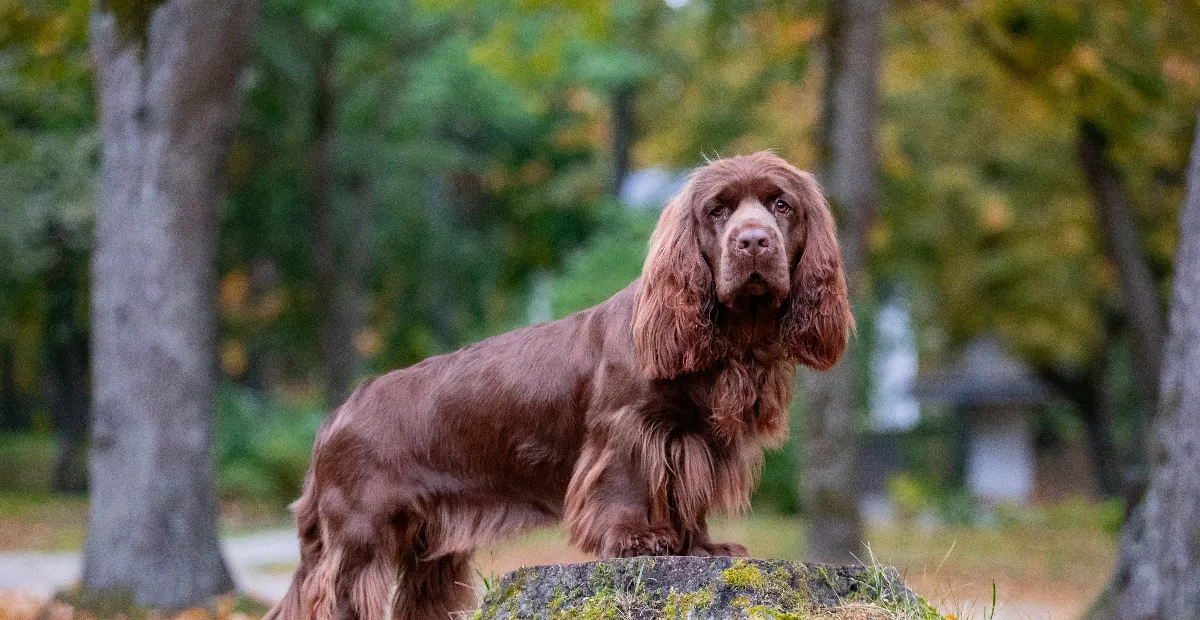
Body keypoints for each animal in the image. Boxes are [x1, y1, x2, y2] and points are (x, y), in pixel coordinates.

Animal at [266, 149, 849, 618]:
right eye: (718, 211)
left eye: (782, 206)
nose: (754, 243)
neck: (731, 343)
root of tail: (335, 417)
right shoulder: (628, 427)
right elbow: (630, 483)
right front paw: (638, 540)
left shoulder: (694, 440)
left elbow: (686, 497)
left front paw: (701, 546)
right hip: (359, 537)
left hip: (429, 550)